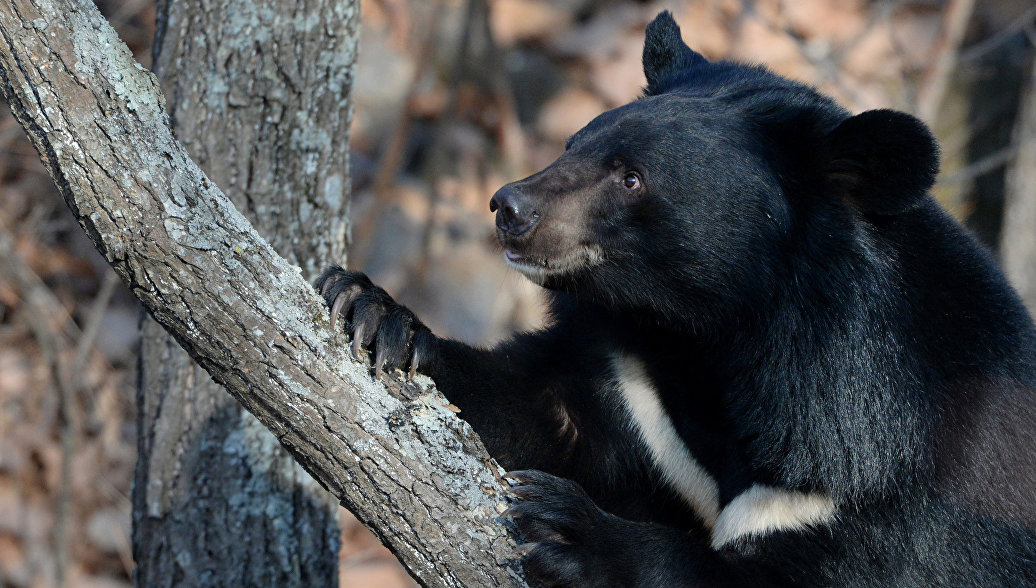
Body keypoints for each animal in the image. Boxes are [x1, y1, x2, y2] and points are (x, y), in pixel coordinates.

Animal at [314, 10, 1036, 588]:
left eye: (631, 178)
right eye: (574, 143)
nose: (509, 208)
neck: (717, 337)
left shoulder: (891, 490)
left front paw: (572, 530)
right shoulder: (642, 392)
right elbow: (535, 407)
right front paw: (374, 313)